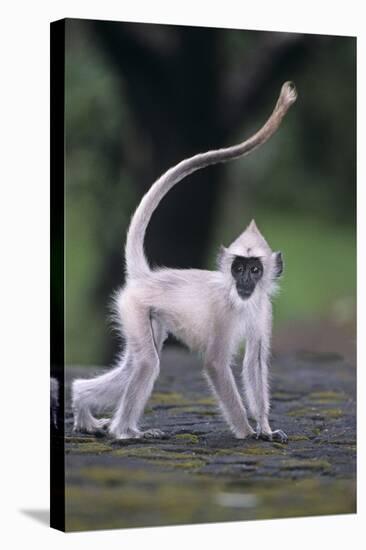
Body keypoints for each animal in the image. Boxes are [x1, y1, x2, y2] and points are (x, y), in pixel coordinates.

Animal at [71, 82, 298, 444]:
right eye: (237, 268)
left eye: (254, 269)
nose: (245, 281)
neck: (240, 299)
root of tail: (147, 276)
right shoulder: (222, 314)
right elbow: (216, 365)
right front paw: (247, 431)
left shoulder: (264, 310)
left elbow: (254, 362)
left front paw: (264, 428)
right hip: (133, 307)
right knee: (147, 363)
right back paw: (125, 432)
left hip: (146, 317)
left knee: (134, 364)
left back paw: (83, 407)